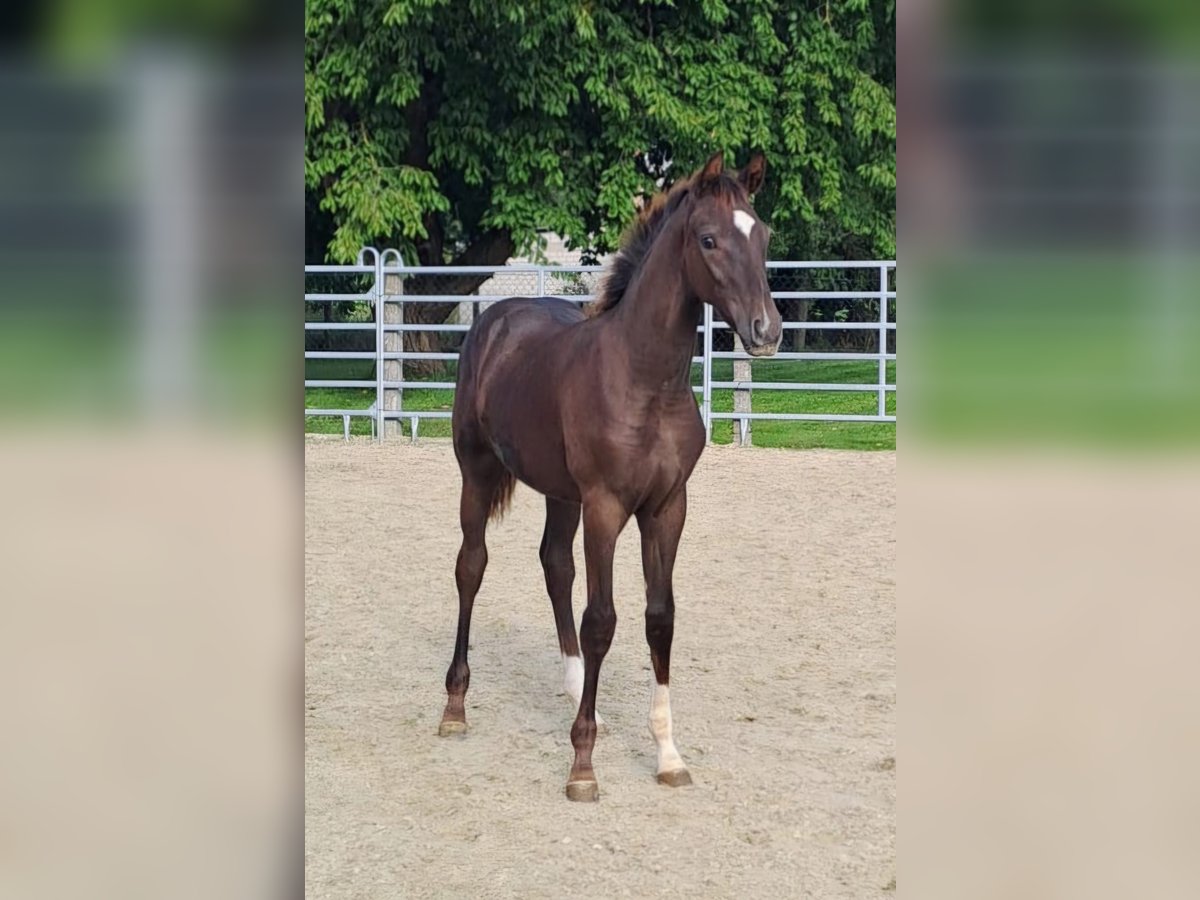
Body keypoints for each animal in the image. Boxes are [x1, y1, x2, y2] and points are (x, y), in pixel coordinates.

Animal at [436, 150, 782, 801]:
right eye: (708, 240)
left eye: (764, 236)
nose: (766, 331)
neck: (645, 381)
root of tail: (496, 318)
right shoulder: (606, 507)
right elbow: (602, 620)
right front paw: (582, 765)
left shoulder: (667, 507)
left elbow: (659, 618)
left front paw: (668, 754)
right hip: (477, 471)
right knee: (471, 567)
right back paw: (454, 707)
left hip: (559, 492)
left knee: (555, 565)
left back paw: (576, 687)